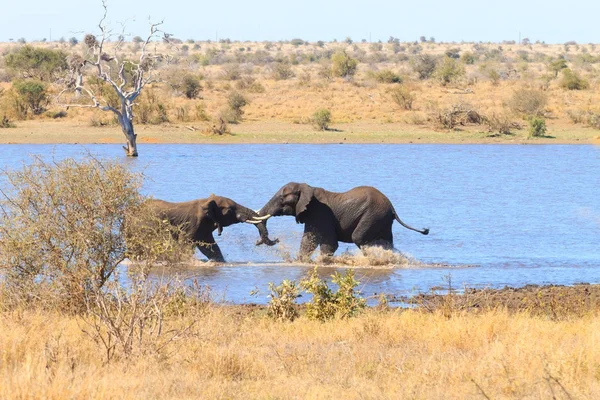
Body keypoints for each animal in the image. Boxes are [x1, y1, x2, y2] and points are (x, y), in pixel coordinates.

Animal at [135, 195, 276, 262]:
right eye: (230, 210)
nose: (277, 240)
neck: (206, 201)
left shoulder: (204, 227)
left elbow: (210, 248)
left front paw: (219, 262)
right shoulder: (193, 224)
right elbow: (184, 244)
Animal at [256, 184, 426, 260]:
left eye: (282, 199)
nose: (276, 239)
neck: (306, 187)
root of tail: (392, 207)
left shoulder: (320, 213)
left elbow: (328, 243)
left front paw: (322, 262)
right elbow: (308, 241)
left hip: (373, 215)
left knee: (359, 237)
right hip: (382, 219)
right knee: (387, 242)